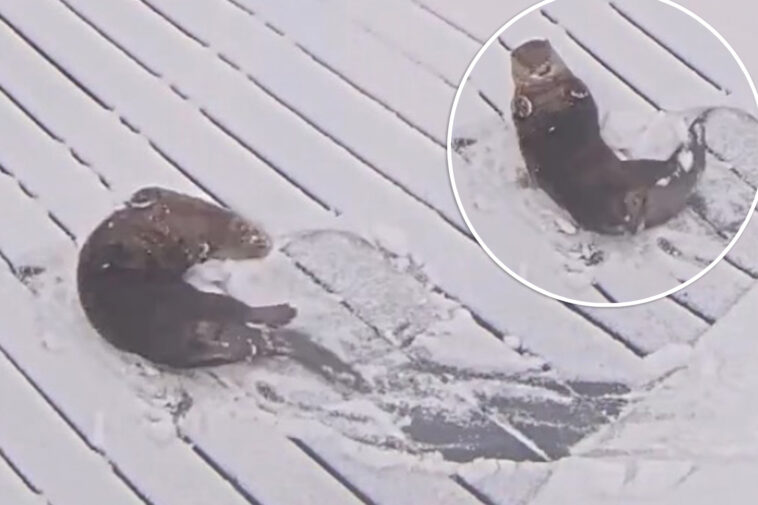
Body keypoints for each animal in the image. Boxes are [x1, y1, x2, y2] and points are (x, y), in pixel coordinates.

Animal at [510, 39, 706, 234]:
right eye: (526, 60)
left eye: (546, 54)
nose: (542, 68)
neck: (547, 92)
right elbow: (517, 112)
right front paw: (521, 105)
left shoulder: (573, 84)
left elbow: (582, 93)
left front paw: (576, 92)